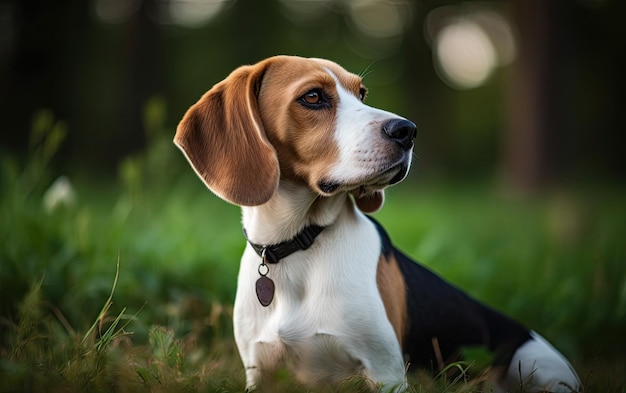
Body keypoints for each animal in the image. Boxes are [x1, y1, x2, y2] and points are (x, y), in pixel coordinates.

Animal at [172, 56, 580, 392]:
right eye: (313, 97)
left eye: (362, 93)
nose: (407, 130)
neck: (297, 244)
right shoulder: (260, 373)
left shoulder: (385, 373)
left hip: (538, 368)